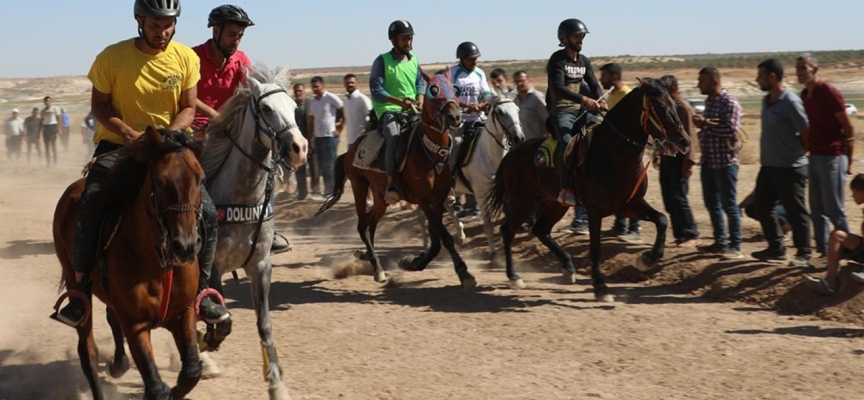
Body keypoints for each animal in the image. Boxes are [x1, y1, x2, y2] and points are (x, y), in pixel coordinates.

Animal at [54, 127, 208, 400]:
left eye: (200, 179)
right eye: (158, 180)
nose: (186, 246)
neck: (159, 264)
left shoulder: (184, 311)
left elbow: (191, 371)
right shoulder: (135, 326)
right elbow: (156, 387)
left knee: (110, 317)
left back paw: (119, 363)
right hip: (76, 285)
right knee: (88, 351)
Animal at [197, 65, 308, 400]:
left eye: (295, 108)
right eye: (267, 108)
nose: (300, 149)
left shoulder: (260, 265)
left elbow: (264, 324)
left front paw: (277, 384)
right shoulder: (213, 268)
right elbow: (221, 319)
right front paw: (207, 342)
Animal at [318, 69, 476, 288]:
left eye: (454, 88)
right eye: (433, 90)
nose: (455, 117)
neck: (431, 153)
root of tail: (349, 151)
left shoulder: (438, 199)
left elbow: (436, 240)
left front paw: (413, 262)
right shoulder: (425, 200)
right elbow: (444, 237)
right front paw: (464, 273)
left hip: (380, 197)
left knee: (371, 222)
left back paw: (366, 255)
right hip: (359, 186)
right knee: (362, 225)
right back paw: (377, 269)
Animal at [420, 95, 524, 260]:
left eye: (518, 110)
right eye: (500, 112)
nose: (519, 137)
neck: (489, 154)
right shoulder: (481, 194)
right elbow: (488, 224)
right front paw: (493, 253)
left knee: (446, 206)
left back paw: (460, 237)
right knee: (424, 214)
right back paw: (428, 243)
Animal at [490, 78, 692, 302]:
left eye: (674, 104)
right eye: (659, 107)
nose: (684, 141)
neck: (613, 154)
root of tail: (513, 153)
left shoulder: (631, 205)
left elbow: (662, 220)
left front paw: (648, 258)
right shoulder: (595, 211)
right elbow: (595, 247)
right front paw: (600, 287)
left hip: (555, 204)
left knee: (540, 230)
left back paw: (568, 267)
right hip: (521, 202)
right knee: (508, 231)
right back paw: (514, 276)